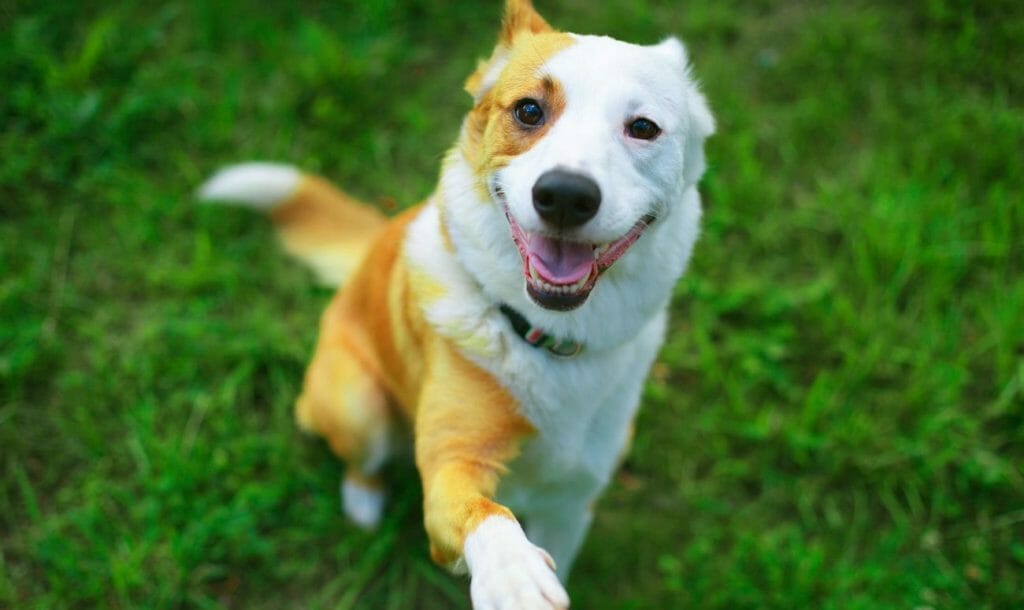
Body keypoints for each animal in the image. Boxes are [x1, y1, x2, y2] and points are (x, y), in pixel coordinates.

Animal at [197, 2, 712, 605]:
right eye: (529, 110)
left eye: (643, 128)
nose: (564, 195)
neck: (549, 338)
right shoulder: (452, 463)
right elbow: (481, 512)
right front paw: (513, 575)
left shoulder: (573, 500)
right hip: (357, 404)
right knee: (355, 454)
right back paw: (364, 502)